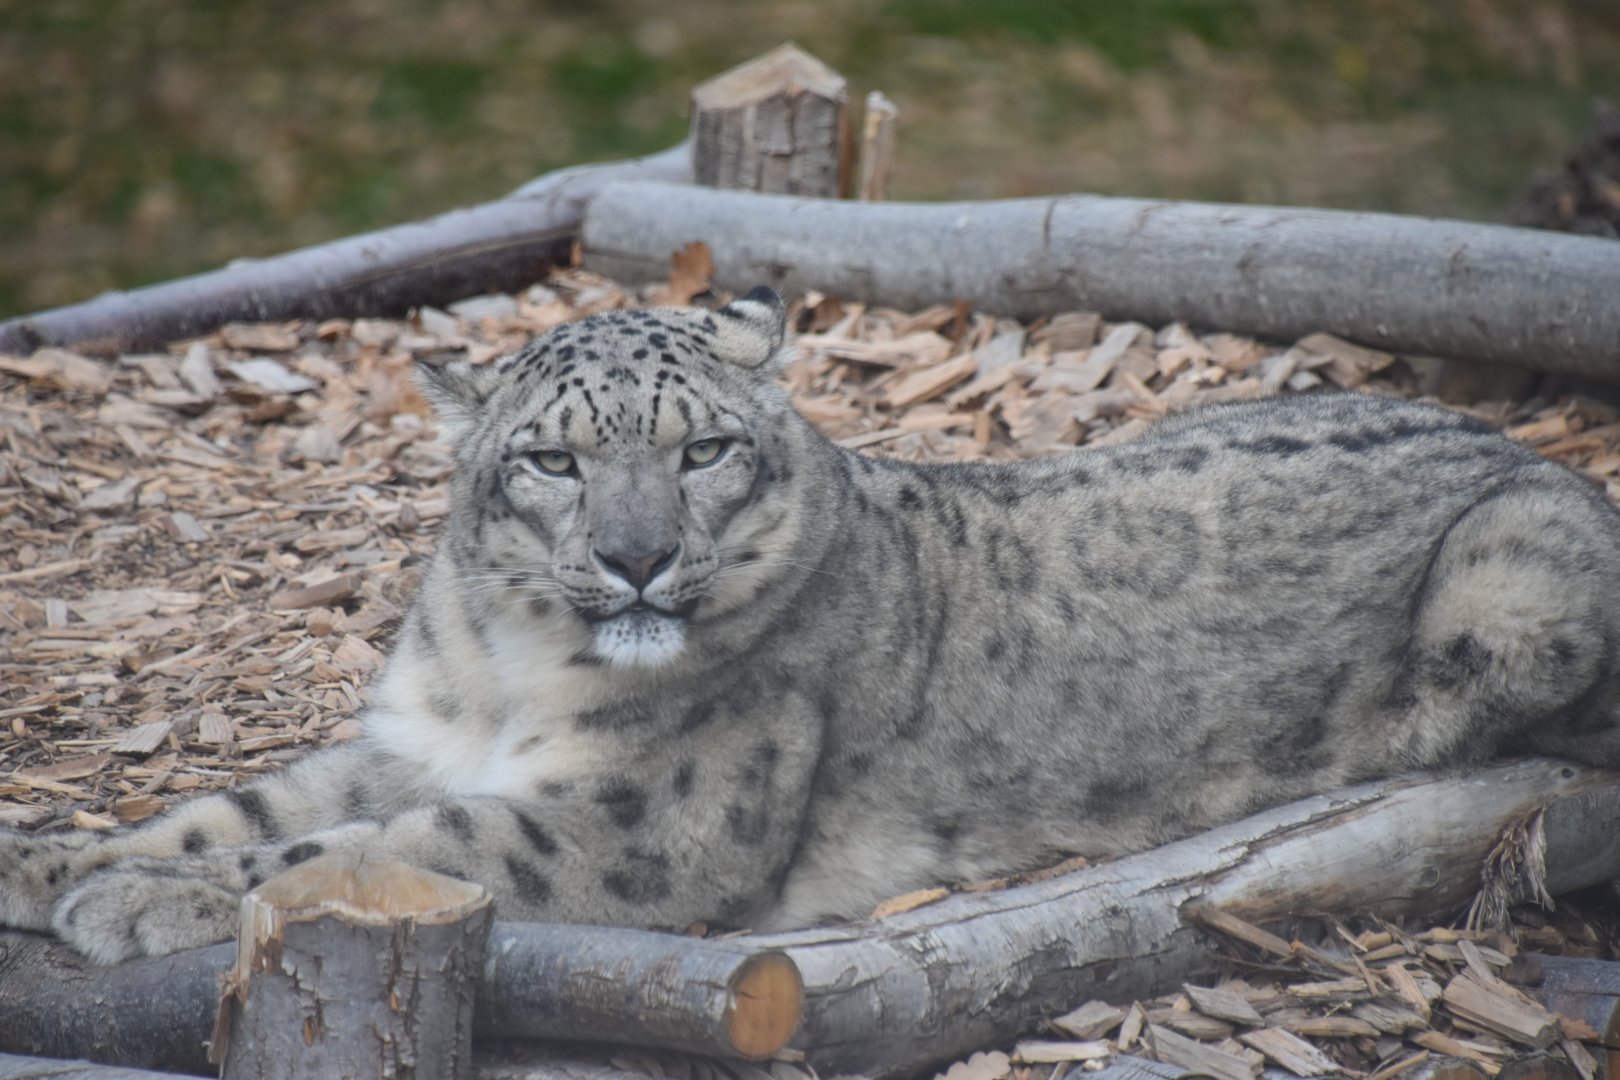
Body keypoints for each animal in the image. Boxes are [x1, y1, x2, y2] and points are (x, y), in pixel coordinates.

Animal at [5, 286, 1620, 965]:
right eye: (554, 460)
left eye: (706, 449)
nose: (638, 560)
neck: (507, 674)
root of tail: (1515, 440)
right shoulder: (411, 739)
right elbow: (249, 807)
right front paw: (56, 859)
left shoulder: (626, 821)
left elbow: (380, 849)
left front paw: (134, 903)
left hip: (1521, 577)